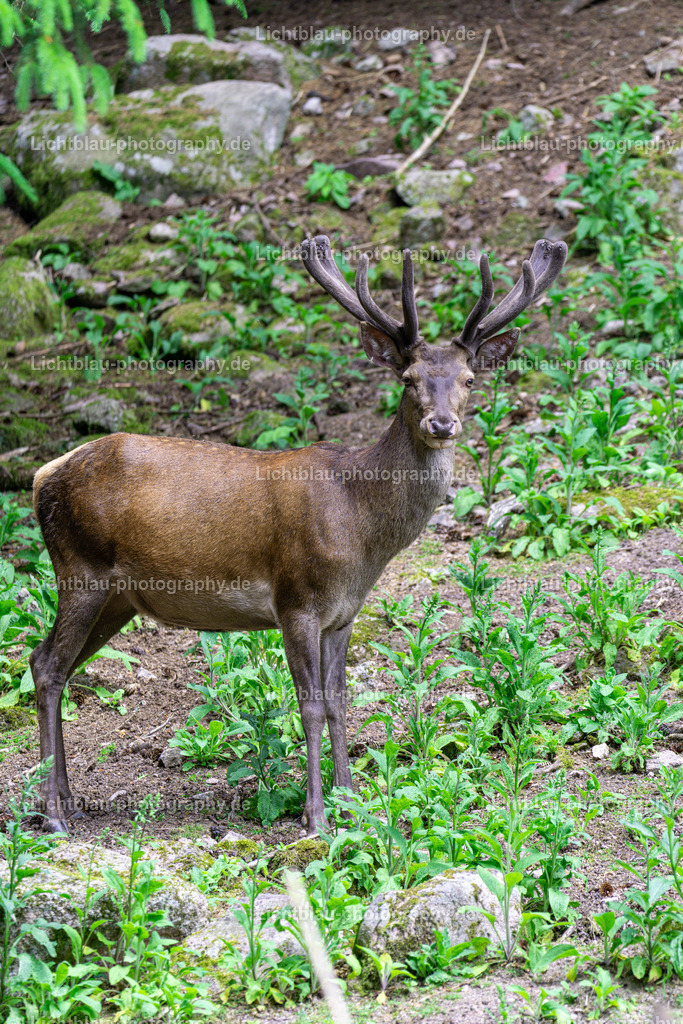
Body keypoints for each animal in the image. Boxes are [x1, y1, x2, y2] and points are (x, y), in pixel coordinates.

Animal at [29, 234, 567, 834]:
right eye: (407, 380)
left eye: (470, 380)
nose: (442, 423)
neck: (361, 530)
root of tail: (43, 475)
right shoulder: (296, 599)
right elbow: (307, 705)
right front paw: (316, 817)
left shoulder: (344, 614)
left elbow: (339, 701)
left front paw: (351, 800)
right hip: (81, 567)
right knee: (49, 668)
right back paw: (54, 814)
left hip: (119, 597)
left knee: (46, 661)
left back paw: (67, 799)